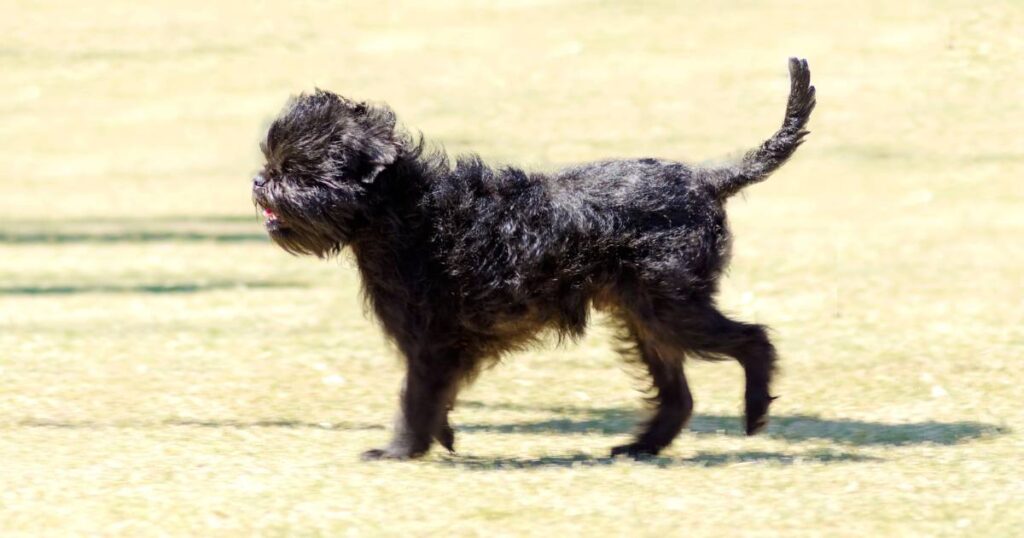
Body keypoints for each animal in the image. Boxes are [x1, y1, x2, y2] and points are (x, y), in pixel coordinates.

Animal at [253, 58, 815, 459]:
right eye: (272, 164)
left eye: (300, 173)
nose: (261, 181)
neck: (405, 211)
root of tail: (707, 180)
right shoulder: (440, 345)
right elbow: (434, 395)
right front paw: (440, 437)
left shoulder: (433, 338)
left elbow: (416, 396)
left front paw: (399, 451)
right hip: (644, 312)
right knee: (679, 395)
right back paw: (641, 447)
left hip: (670, 305)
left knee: (753, 339)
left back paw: (754, 414)